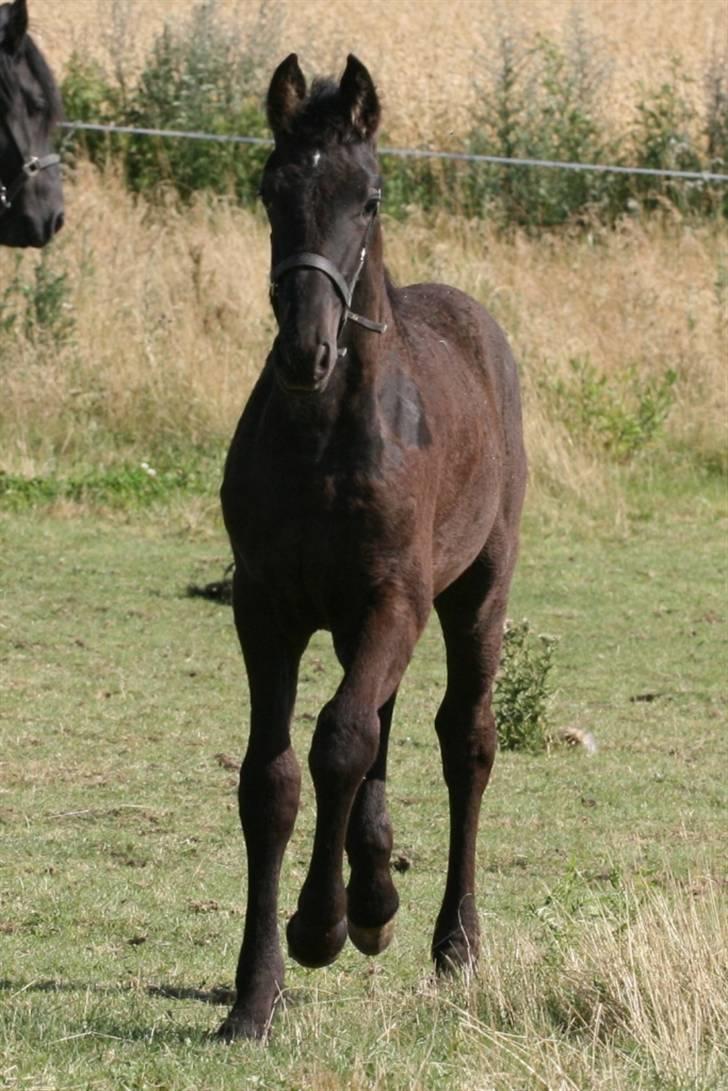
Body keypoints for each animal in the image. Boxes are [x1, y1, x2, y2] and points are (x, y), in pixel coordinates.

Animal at [219, 53, 526, 1038]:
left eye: (371, 196)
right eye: (272, 189)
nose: (306, 352)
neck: (327, 435)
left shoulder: (400, 598)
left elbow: (341, 740)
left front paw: (318, 927)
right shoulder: (265, 609)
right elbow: (274, 777)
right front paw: (255, 992)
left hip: (476, 593)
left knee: (462, 739)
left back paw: (449, 938)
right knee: (382, 727)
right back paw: (376, 896)